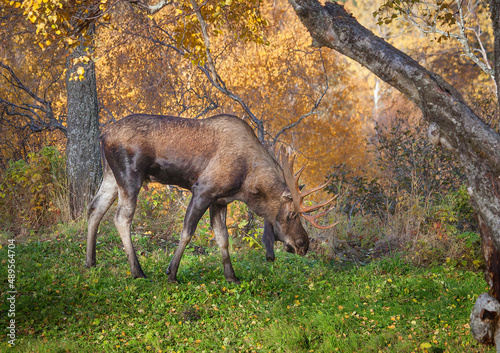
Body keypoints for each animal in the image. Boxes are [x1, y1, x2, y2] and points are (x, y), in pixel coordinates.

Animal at [86, 114, 336, 282]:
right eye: (291, 213)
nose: (303, 244)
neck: (247, 183)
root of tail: (103, 135)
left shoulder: (220, 200)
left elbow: (223, 238)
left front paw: (231, 276)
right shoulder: (202, 190)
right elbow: (187, 232)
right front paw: (172, 273)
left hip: (111, 175)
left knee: (94, 208)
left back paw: (91, 261)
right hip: (130, 175)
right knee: (121, 218)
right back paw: (137, 271)